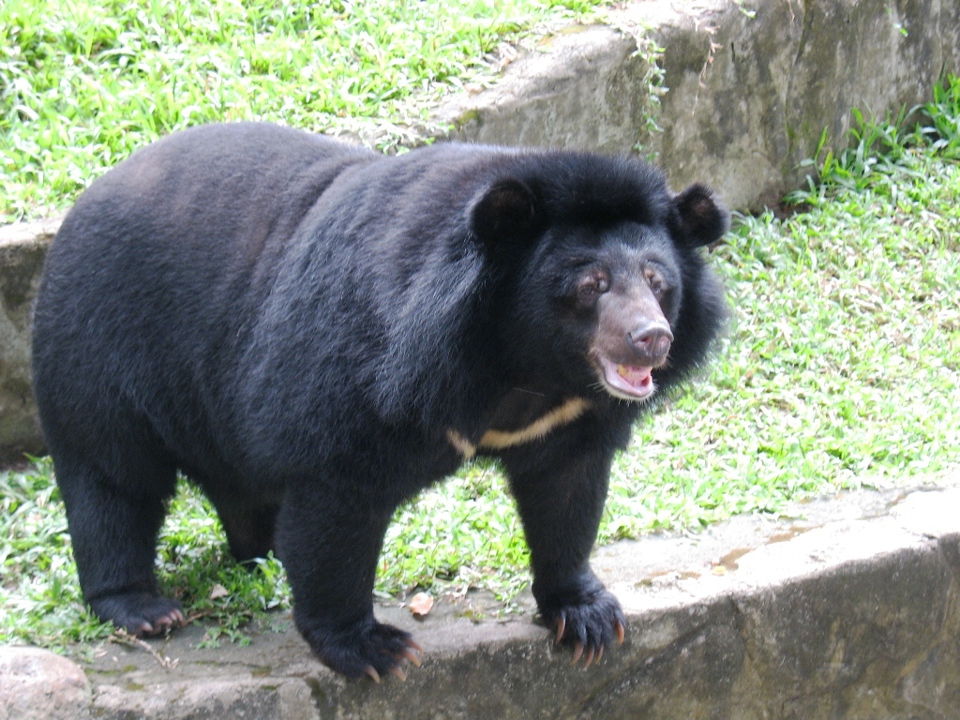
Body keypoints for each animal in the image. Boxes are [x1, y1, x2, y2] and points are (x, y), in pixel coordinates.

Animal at [31, 124, 728, 680]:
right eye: (591, 284)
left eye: (659, 282)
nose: (651, 340)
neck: (522, 369)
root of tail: (81, 204)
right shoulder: (361, 382)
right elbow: (336, 507)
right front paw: (372, 648)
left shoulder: (568, 419)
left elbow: (566, 492)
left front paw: (586, 618)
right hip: (97, 346)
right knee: (113, 478)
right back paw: (144, 609)